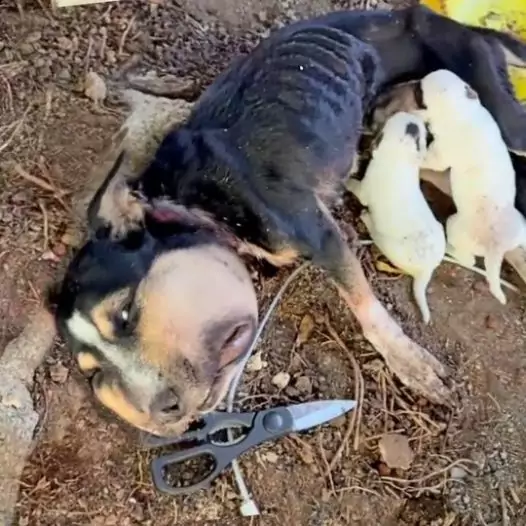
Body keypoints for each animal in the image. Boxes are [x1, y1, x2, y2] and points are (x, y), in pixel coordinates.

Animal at [416, 72, 526, 308]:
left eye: (422, 90)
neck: (464, 110)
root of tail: (496, 249)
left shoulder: (442, 152)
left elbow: (432, 159)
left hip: (454, 226)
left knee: (469, 259)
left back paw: (449, 250)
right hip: (520, 227)